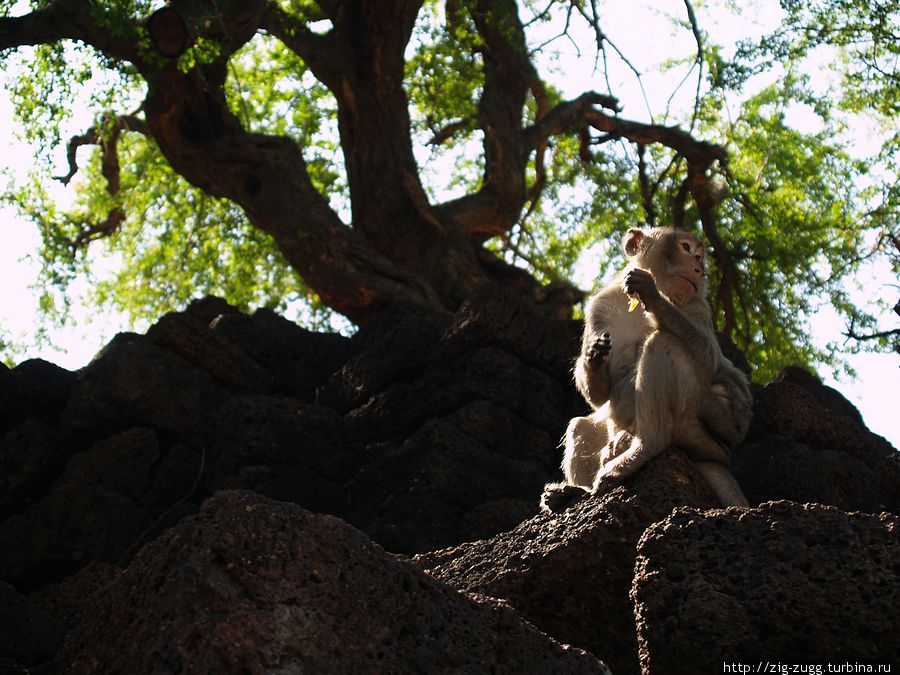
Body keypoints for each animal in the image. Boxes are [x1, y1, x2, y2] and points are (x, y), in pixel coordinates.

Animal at [540, 227, 752, 512]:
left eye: (699, 257)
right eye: (687, 249)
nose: (698, 268)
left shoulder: (699, 305)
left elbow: (709, 359)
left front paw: (652, 296)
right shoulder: (601, 305)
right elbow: (601, 396)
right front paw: (593, 357)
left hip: (716, 420)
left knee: (664, 342)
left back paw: (644, 447)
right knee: (581, 426)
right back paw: (576, 491)